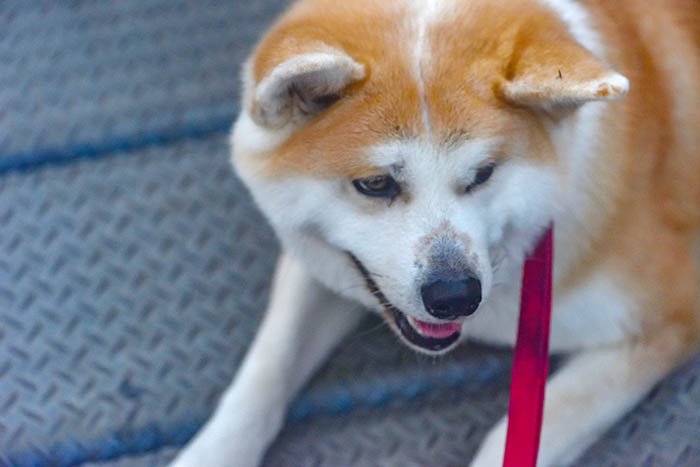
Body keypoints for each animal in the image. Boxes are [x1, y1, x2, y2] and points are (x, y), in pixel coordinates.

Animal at [171, 0, 700, 464]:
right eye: (375, 184)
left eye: (483, 174)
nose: (455, 296)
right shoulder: (317, 260)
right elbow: (266, 370)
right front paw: (209, 453)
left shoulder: (667, 317)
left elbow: (527, 430)